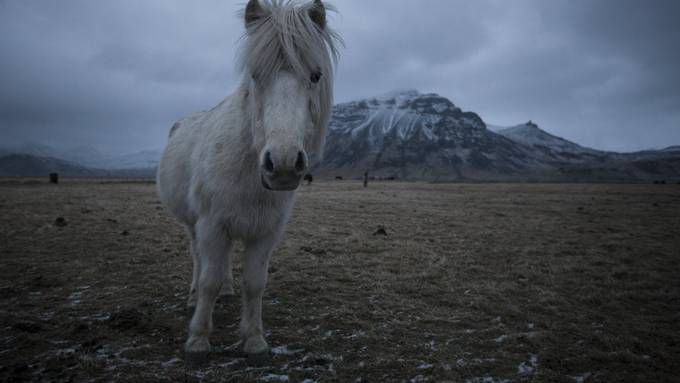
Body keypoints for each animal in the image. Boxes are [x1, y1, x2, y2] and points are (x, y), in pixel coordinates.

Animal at [158, 0, 340, 368]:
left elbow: (255, 284)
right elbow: (209, 280)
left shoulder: (265, 231)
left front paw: (254, 341)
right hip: (193, 225)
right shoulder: (212, 225)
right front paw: (198, 341)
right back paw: (193, 296)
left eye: (316, 76)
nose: (282, 165)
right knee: (199, 259)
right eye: (255, 75)